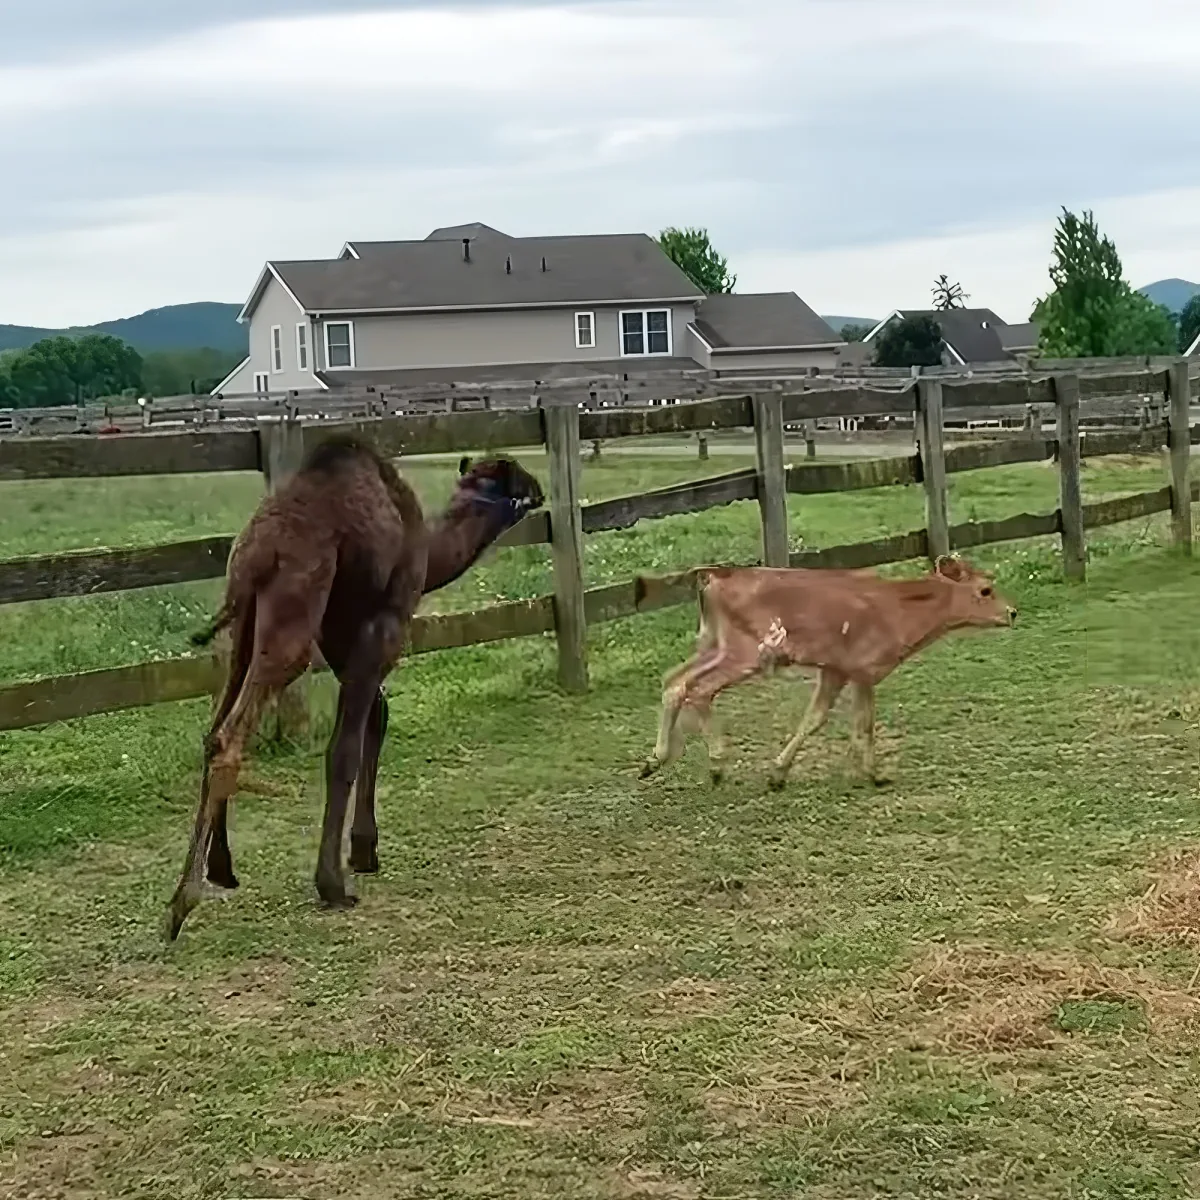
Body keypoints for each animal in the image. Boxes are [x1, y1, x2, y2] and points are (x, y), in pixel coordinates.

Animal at [166, 436, 544, 940]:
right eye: (518, 476)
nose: (539, 490)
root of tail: (260, 552)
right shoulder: (386, 620)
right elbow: (344, 748)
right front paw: (334, 883)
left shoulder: (341, 635)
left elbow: (377, 718)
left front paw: (365, 850)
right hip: (295, 614)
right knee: (231, 735)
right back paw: (180, 906)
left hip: (242, 630)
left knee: (214, 730)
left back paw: (219, 869)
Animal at [639, 554, 1016, 789]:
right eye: (985, 590)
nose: (1013, 612)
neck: (897, 608)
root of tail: (717, 574)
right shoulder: (864, 670)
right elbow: (864, 725)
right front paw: (874, 774)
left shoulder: (836, 670)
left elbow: (816, 718)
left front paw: (780, 772)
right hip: (744, 652)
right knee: (700, 690)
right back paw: (716, 765)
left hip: (712, 645)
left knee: (674, 682)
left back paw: (655, 759)